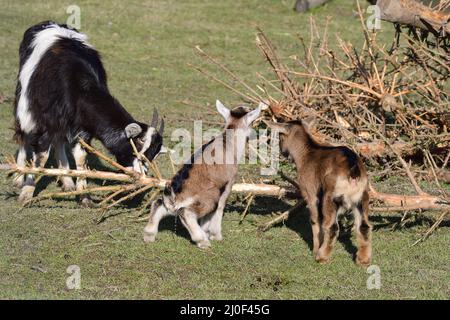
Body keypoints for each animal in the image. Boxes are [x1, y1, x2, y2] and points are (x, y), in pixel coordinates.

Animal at [12, 21, 165, 204]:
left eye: (153, 154)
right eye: (137, 144)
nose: (142, 176)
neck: (79, 87)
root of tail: (46, 23)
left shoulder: (81, 129)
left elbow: (81, 158)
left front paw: (84, 196)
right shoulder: (47, 123)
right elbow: (41, 158)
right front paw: (26, 194)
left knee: (59, 141)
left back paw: (67, 181)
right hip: (23, 102)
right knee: (23, 135)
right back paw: (18, 177)